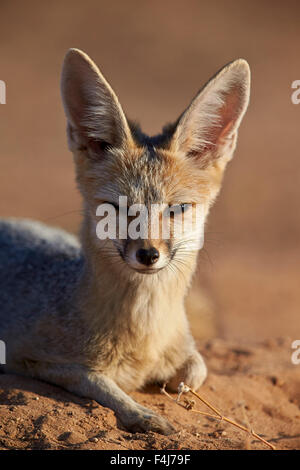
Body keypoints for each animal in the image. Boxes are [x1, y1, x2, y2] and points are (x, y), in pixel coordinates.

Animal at [0, 49, 250, 436]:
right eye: (116, 208)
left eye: (178, 208)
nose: (148, 254)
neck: (143, 337)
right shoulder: (28, 358)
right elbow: (96, 380)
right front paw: (143, 414)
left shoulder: (188, 350)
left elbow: (195, 371)